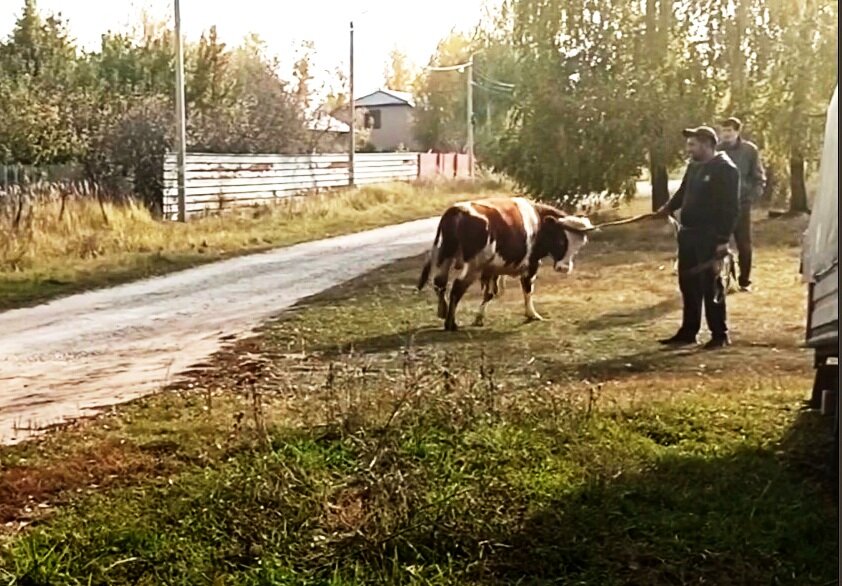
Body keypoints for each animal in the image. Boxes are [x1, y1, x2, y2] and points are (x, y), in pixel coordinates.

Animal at [416, 197, 592, 328]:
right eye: (561, 241)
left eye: (579, 246)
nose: (564, 268)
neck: (539, 222)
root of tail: (458, 210)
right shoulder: (531, 264)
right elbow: (527, 289)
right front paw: (532, 314)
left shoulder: (492, 269)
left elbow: (490, 293)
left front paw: (479, 318)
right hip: (473, 265)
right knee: (457, 287)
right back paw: (451, 324)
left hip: (446, 255)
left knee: (440, 283)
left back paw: (442, 311)